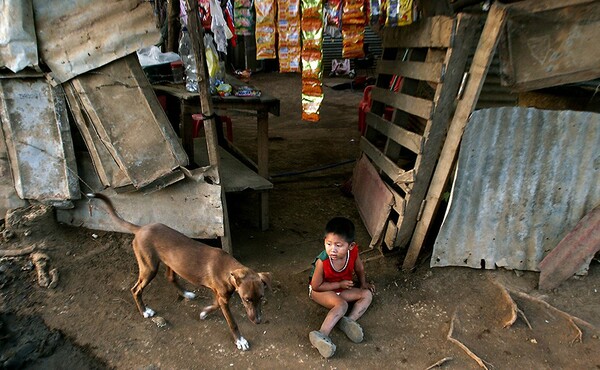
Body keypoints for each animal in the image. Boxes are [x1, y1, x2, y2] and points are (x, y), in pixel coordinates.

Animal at [86, 192, 270, 352]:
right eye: (246, 299)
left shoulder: (219, 294)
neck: (227, 269)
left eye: (261, 297)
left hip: (170, 263)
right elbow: (232, 322)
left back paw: (186, 293)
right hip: (149, 267)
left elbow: (215, 304)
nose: (258, 321)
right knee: (135, 289)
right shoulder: (223, 297)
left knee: (169, 277)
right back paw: (145, 311)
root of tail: (141, 229)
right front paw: (240, 341)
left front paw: (204, 312)